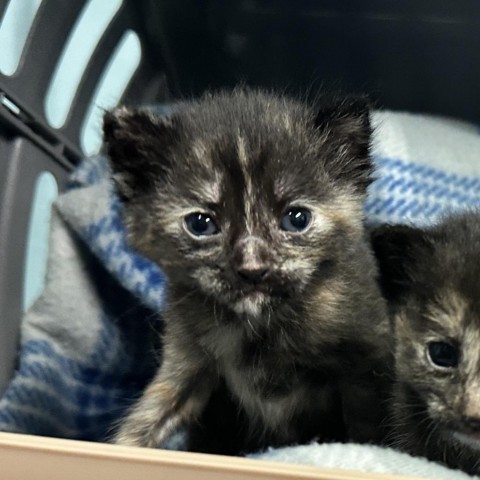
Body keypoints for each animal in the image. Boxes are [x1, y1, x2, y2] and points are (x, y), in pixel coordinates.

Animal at [104, 89, 390, 454]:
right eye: (201, 224)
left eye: (297, 219)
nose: (253, 269)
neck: (255, 327)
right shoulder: (188, 360)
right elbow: (148, 418)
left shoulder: (363, 361)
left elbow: (366, 426)